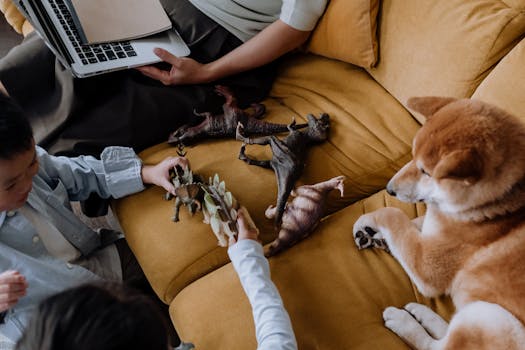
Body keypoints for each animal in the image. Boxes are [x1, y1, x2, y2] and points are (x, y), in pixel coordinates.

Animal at [350, 97, 524, 348]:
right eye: (412, 155)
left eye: (426, 172)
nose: (389, 189)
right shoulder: (434, 226)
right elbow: (414, 222)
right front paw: (373, 233)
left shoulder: (427, 266)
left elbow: (394, 214)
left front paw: (373, 222)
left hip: (491, 316)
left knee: (434, 345)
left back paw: (404, 321)